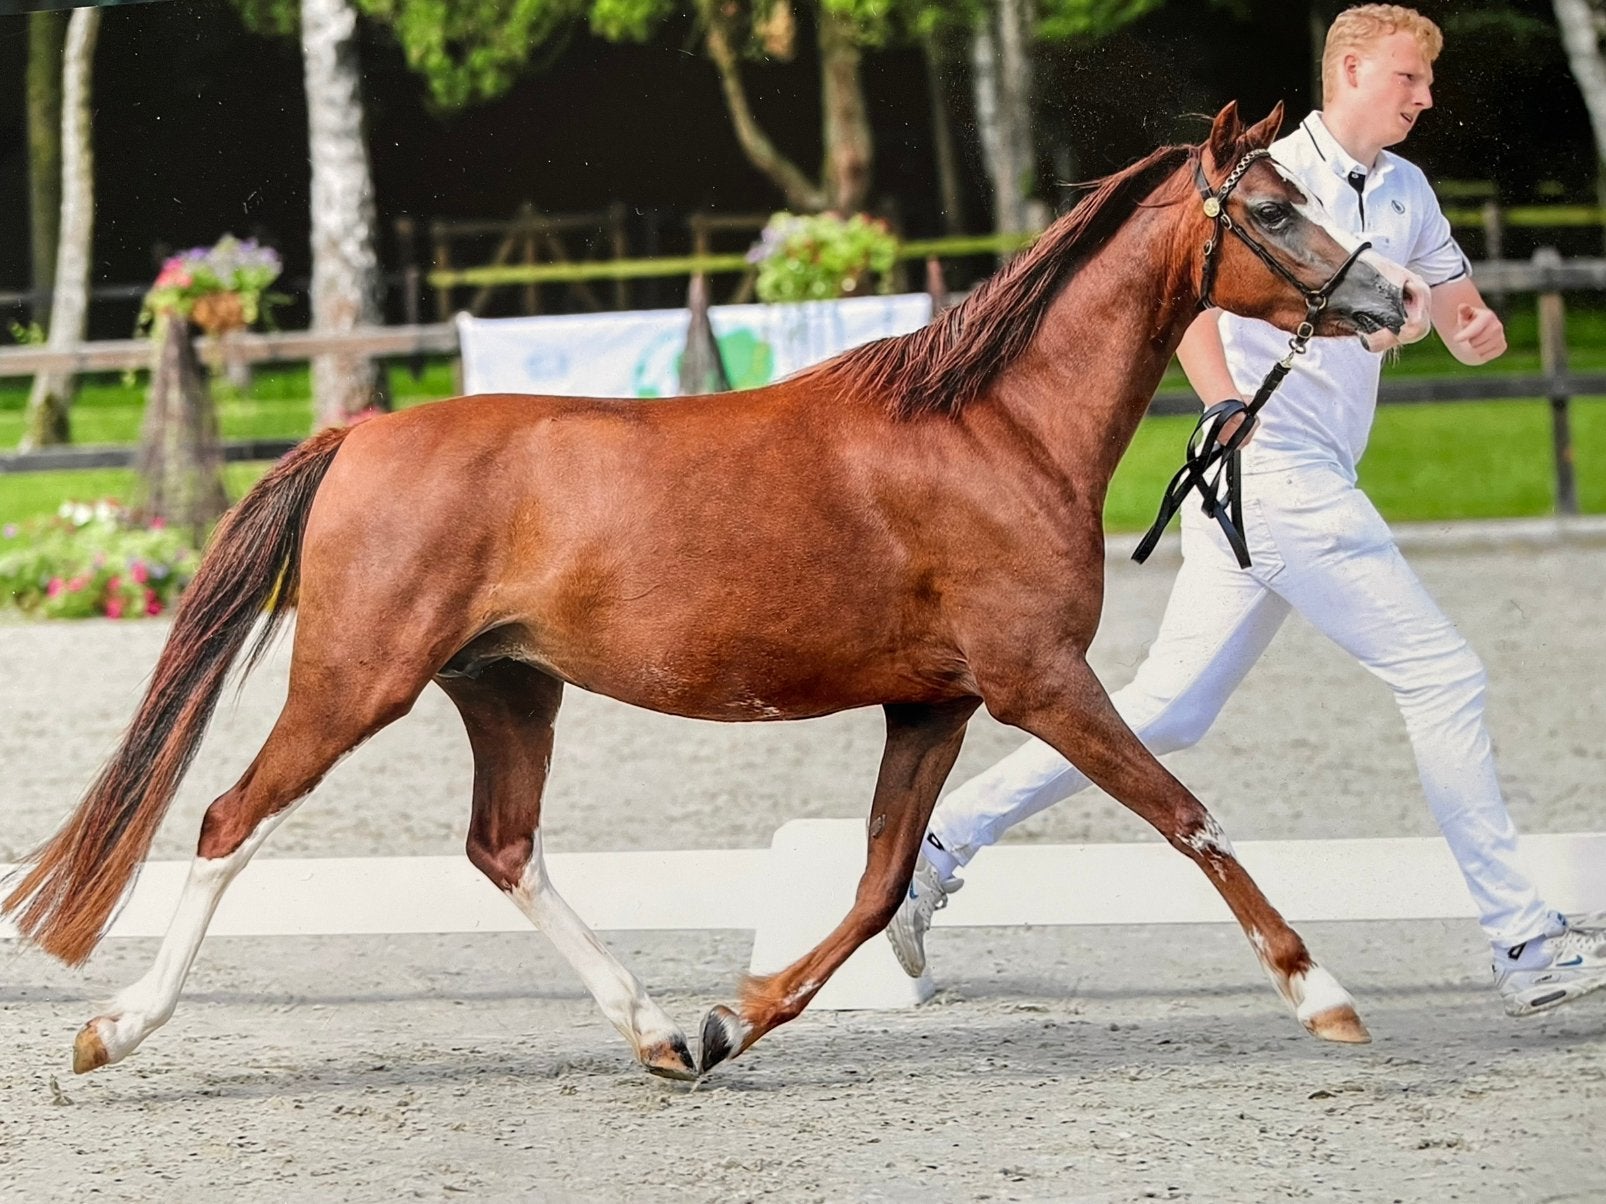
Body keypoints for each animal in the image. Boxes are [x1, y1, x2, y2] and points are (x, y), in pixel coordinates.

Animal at [5, 102, 1429, 1082]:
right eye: (1273, 209)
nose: (1393, 293)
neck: (997, 429)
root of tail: (359, 433)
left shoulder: (937, 705)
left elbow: (878, 881)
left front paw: (730, 1021)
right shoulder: (1041, 684)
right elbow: (1188, 817)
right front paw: (1324, 996)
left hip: (508, 691)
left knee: (502, 848)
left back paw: (650, 1031)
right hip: (358, 683)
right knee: (228, 819)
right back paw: (113, 1030)